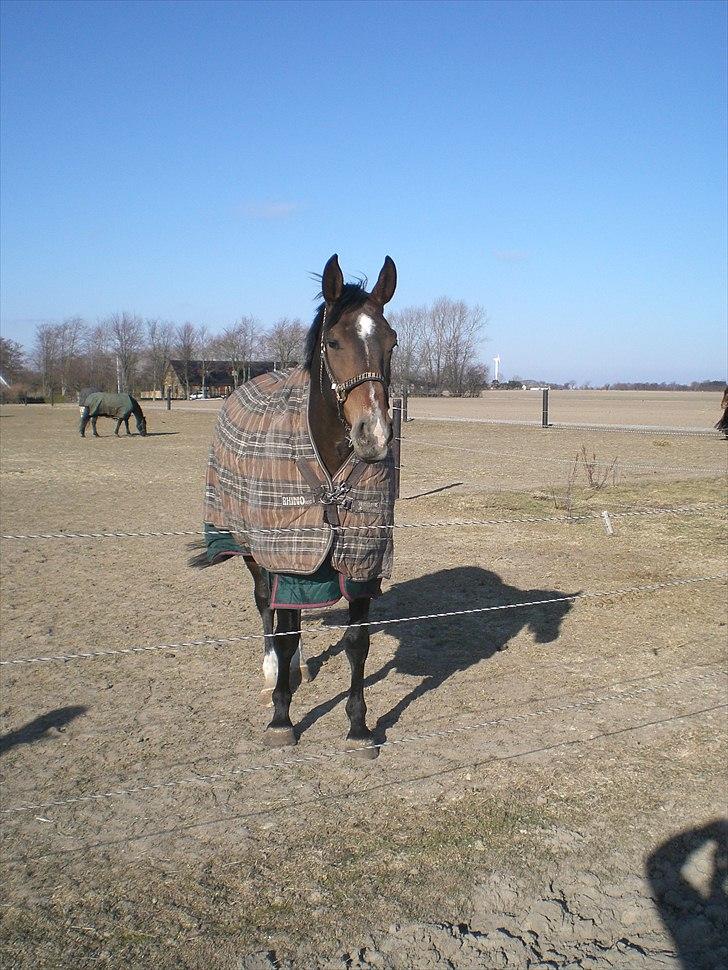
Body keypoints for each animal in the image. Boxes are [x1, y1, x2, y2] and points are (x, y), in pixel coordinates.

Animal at [192, 253, 398, 752]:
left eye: (391, 341)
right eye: (334, 341)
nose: (374, 434)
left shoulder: (359, 561)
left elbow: (358, 642)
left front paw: (359, 726)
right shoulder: (282, 555)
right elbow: (282, 630)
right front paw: (282, 718)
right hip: (251, 550)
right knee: (267, 607)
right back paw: (275, 672)